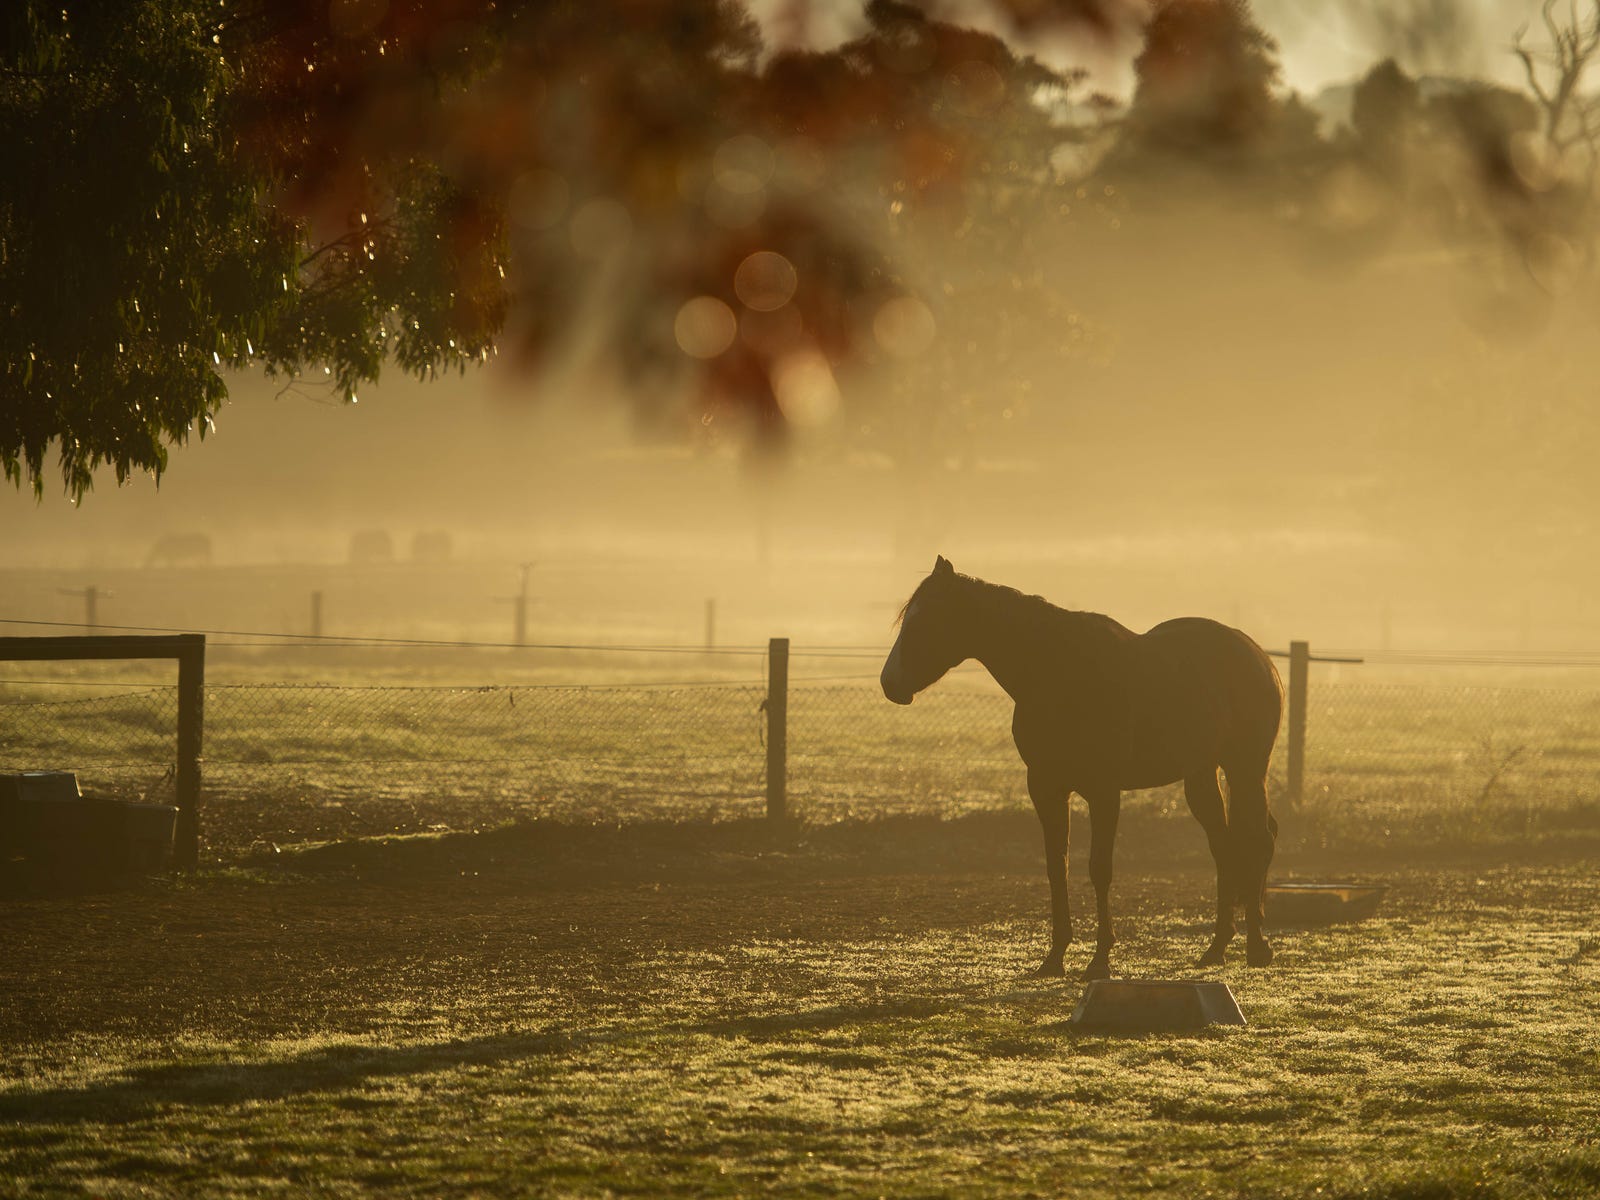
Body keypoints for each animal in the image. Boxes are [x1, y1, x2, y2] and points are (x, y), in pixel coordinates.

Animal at [881, 556, 1283, 981]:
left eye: (927, 621)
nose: (889, 683)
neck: (1060, 675)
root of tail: (1258, 655)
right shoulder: (1045, 787)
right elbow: (1057, 868)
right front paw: (1054, 956)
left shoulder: (1103, 791)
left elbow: (1099, 869)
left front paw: (1100, 959)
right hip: (1202, 775)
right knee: (1225, 847)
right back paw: (1216, 948)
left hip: (1246, 768)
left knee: (1259, 839)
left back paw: (1257, 947)